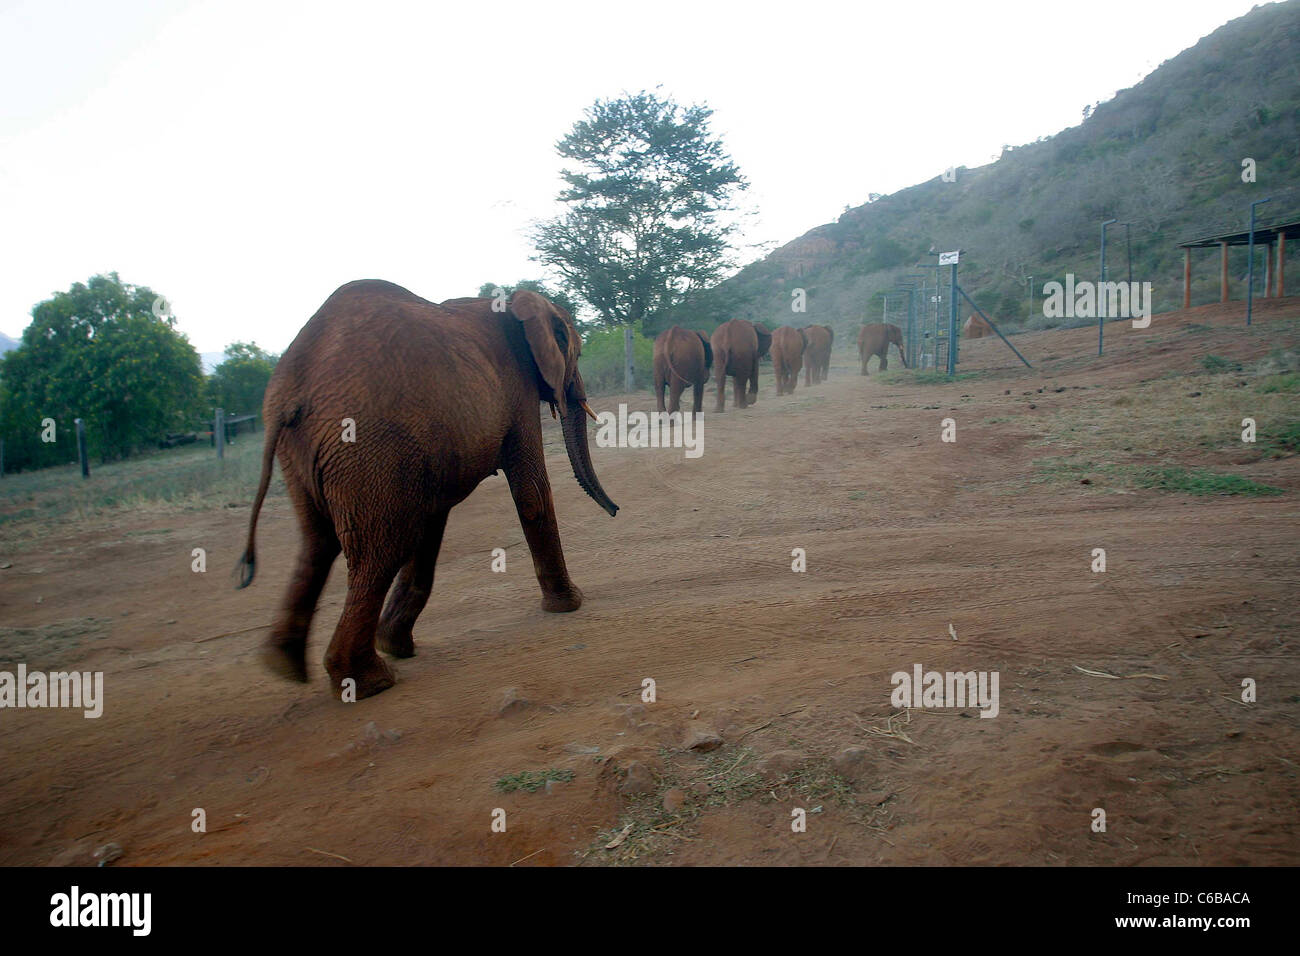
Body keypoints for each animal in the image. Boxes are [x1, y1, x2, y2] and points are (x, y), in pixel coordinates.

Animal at [239, 280, 618, 697]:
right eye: (577, 353)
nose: (615, 510)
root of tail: (291, 388)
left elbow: (432, 521)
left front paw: (396, 644)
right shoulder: (516, 390)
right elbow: (531, 492)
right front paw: (571, 605)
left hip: (305, 453)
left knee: (317, 543)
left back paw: (283, 664)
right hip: (367, 448)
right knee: (383, 548)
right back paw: (371, 682)